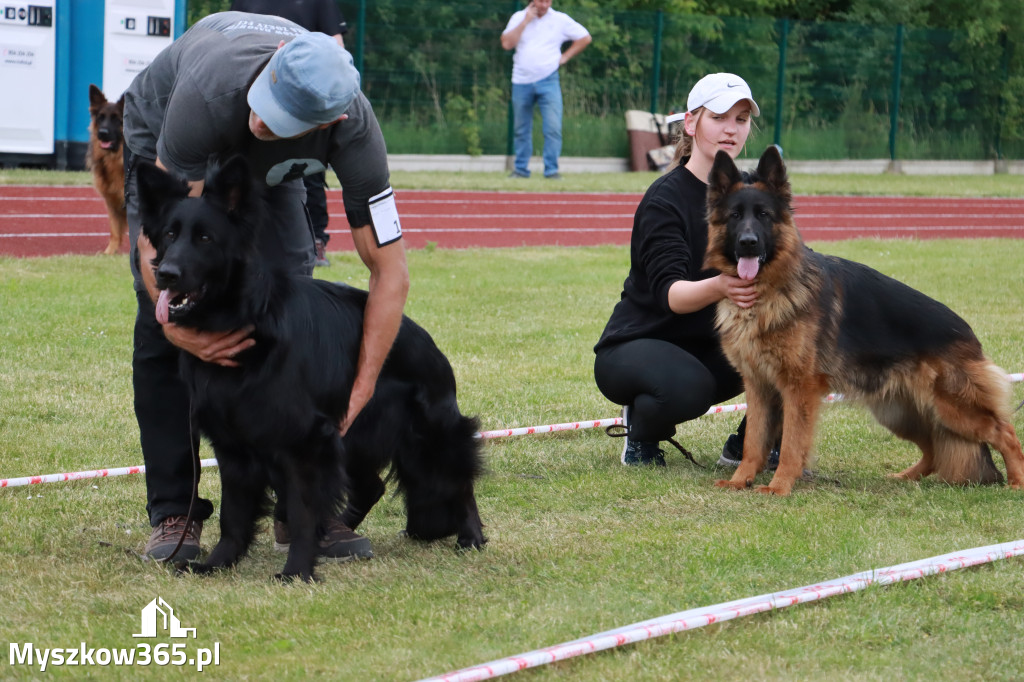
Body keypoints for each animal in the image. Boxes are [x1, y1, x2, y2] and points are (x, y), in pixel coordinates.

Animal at [137, 157, 487, 577]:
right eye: (169, 235)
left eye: (205, 239)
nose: (165, 274)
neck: (246, 317)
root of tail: (425, 340)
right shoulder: (232, 446)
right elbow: (233, 515)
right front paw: (219, 563)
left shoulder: (305, 443)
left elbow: (303, 510)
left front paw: (297, 570)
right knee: (372, 486)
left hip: (427, 436)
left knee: (459, 482)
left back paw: (471, 537)